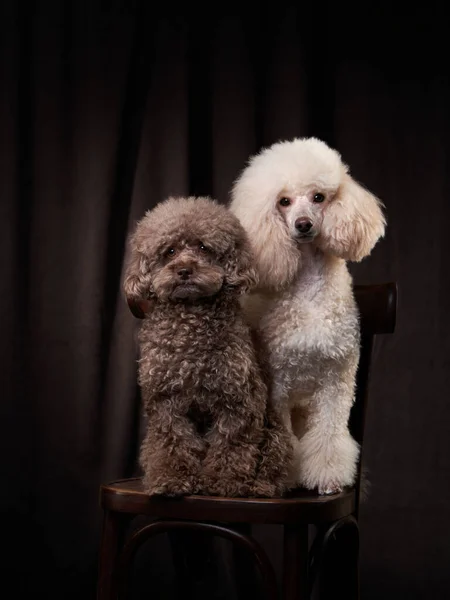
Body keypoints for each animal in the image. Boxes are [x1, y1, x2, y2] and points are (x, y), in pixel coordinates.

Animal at [123, 196, 292, 496]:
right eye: (169, 251)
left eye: (203, 247)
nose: (184, 270)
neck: (191, 327)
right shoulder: (165, 402)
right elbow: (173, 442)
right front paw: (172, 479)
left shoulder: (238, 399)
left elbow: (231, 442)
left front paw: (223, 481)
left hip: (274, 433)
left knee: (274, 467)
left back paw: (261, 486)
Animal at [230, 138, 384, 494]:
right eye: (284, 202)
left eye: (318, 197)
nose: (304, 225)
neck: (310, 292)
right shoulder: (278, 386)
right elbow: (284, 438)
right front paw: (283, 478)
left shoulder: (336, 381)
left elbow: (329, 435)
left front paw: (328, 478)